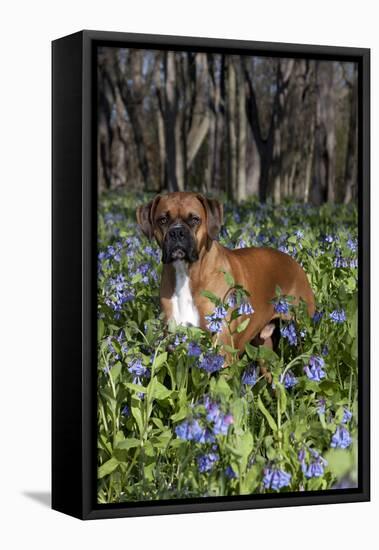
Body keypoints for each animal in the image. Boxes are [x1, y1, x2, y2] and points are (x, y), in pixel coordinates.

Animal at [137, 192, 314, 352]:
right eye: (163, 220)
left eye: (194, 219)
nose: (176, 232)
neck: (186, 274)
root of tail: (293, 261)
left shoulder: (221, 349)